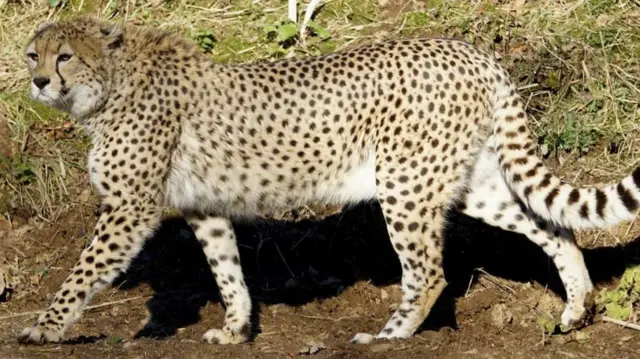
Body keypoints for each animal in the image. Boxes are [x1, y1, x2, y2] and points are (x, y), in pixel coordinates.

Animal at [17, 16, 640, 346]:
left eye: (64, 56)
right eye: (31, 55)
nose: (39, 81)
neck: (110, 84)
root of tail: (469, 50)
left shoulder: (130, 209)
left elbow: (81, 273)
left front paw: (44, 328)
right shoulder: (205, 207)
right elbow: (227, 271)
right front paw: (236, 329)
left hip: (404, 183)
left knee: (429, 271)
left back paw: (390, 336)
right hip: (473, 182)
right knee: (554, 228)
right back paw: (575, 309)